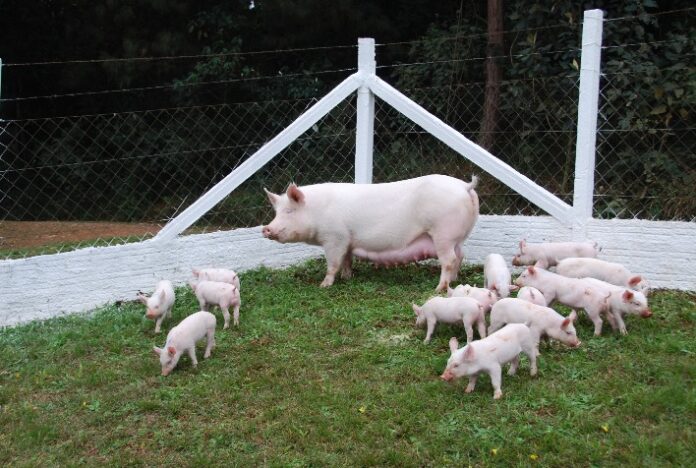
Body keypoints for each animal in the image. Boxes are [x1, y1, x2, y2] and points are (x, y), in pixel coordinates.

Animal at [260, 174, 478, 290]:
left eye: (289, 211)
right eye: (277, 212)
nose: (266, 228)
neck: (317, 210)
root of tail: (464, 186)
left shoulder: (334, 238)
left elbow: (333, 263)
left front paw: (324, 285)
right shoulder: (347, 240)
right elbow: (347, 260)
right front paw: (347, 278)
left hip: (443, 233)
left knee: (449, 260)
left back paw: (439, 288)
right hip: (457, 237)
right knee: (460, 255)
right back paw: (454, 281)